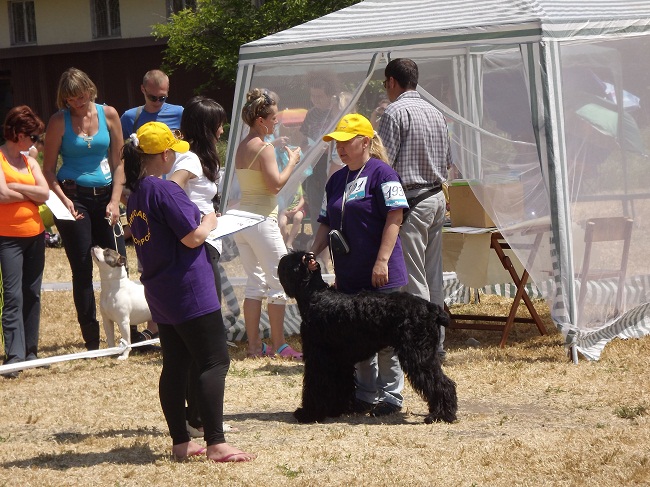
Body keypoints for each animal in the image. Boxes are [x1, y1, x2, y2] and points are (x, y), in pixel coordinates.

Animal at [278, 250, 458, 424]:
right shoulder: (339, 361)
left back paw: (441, 415)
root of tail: (431, 308)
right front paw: (336, 410)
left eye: (289, 263)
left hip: (418, 356)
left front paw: (309, 413)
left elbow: (315, 386)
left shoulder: (318, 358)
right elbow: (340, 385)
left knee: (443, 384)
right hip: (426, 355)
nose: (279, 264)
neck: (315, 295)